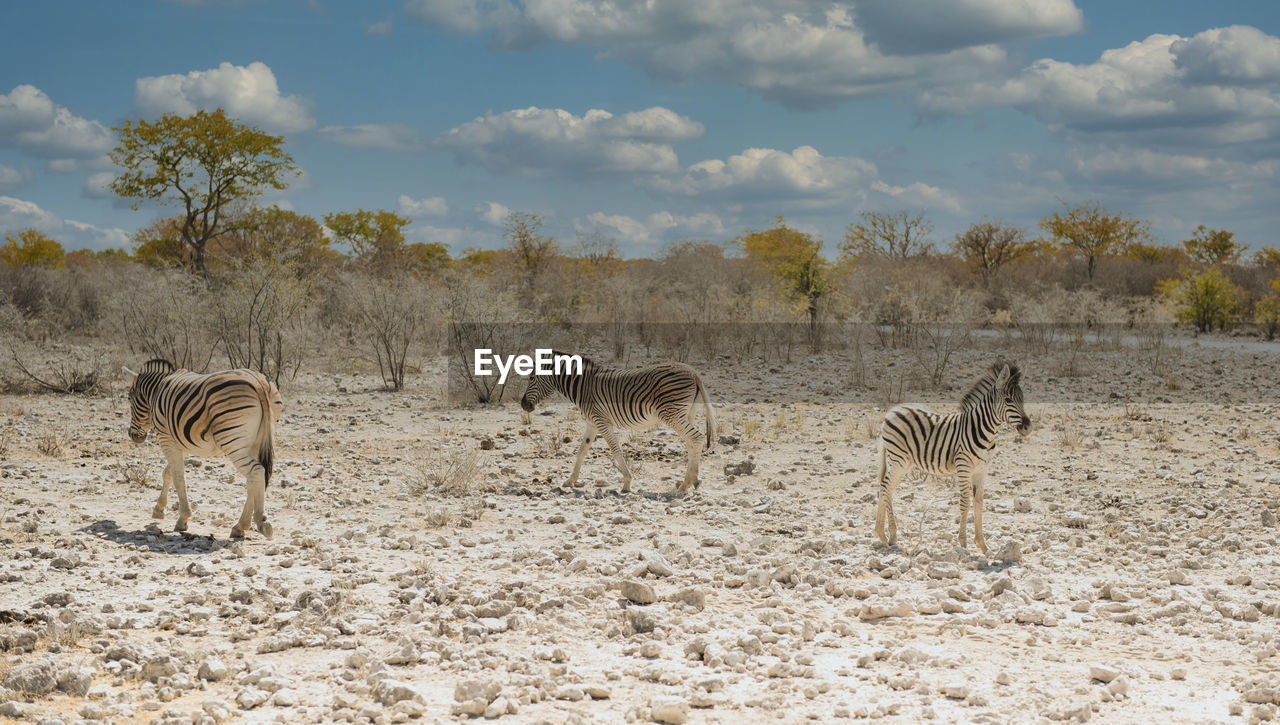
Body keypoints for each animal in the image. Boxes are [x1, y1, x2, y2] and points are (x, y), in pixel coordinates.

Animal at [121, 361, 282, 540]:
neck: (156, 390)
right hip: (256, 442)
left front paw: (182, 519)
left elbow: (178, 477)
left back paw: (260, 521)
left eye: (129, 398)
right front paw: (159, 509)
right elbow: (168, 473)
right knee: (252, 480)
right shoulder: (179, 442)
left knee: (256, 472)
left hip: (232, 441)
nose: (133, 436)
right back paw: (239, 527)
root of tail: (258, 383)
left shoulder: (166, 438)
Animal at [522, 353, 721, 494]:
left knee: (696, 438)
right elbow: (581, 451)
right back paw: (692, 481)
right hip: (686, 413)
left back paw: (686, 484)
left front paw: (626, 482)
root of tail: (693, 372)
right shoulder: (592, 423)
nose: (523, 404)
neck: (583, 387)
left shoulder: (601, 421)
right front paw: (571, 480)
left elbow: (615, 449)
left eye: (531, 377)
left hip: (672, 414)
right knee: (691, 442)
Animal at [870, 361, 1029, 553]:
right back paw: (892, 536)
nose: (1027, 427)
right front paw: (963, 543)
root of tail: (892, 410)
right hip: (898, 459)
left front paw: (983, 545)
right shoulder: (963, 467)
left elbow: (978, 503)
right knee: (886, 487)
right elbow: (965, 502)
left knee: (885, 487)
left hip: (903, 462)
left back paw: (880, 533)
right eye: (1008, 400)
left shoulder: (982, 469)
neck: (985, 431)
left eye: (1022, 399)